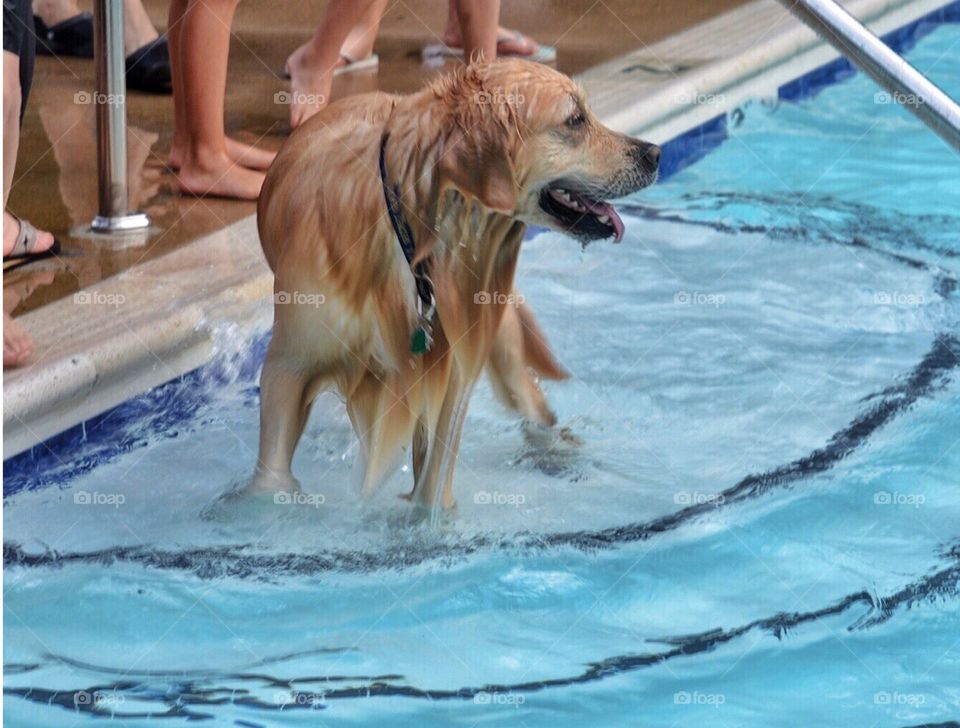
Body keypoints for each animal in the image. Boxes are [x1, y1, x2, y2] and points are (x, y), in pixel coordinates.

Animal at [253, 58, 660, 512]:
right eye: (575, 120)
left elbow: (433, 483)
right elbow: (272, 476)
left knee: (534, 407)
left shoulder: (450, 375)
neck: (411, 233)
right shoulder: (288, 368)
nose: (655, 154)